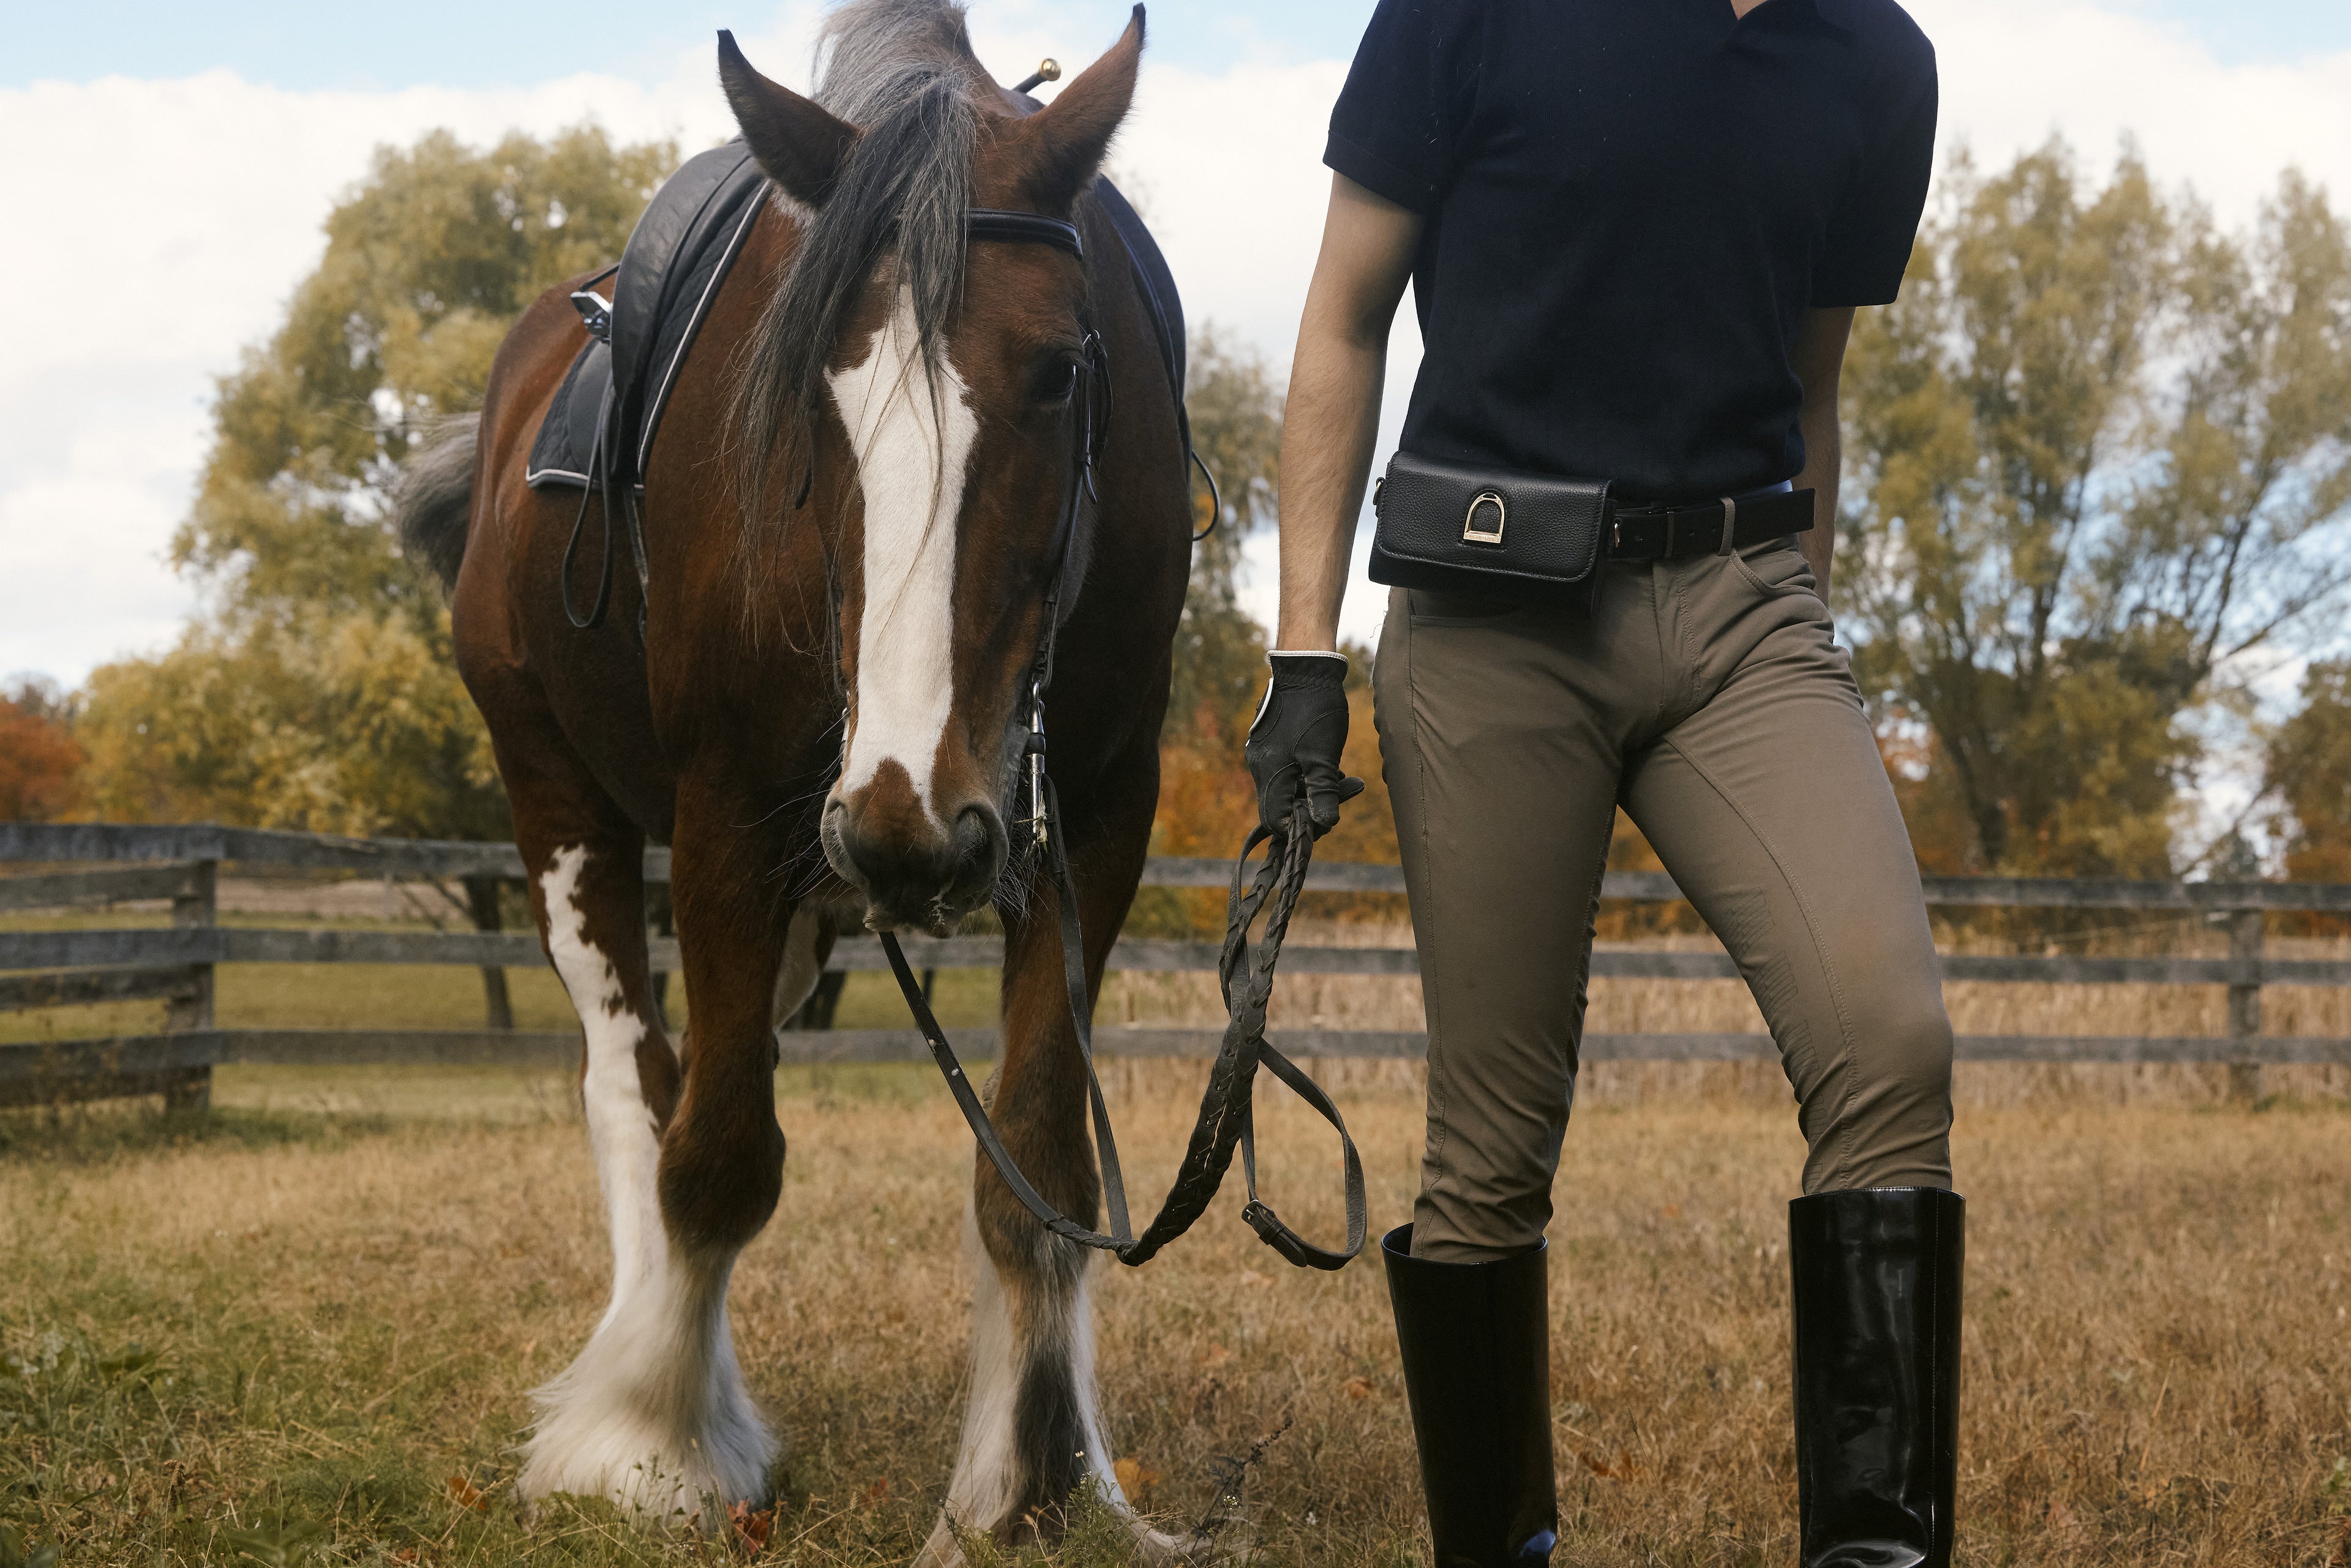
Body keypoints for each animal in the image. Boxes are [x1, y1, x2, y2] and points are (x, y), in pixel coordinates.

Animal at [394, 3, 1198, 1556]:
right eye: (812, 379)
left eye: (1062, 370)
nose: (910, 826)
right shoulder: (725, 817)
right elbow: (713, 1156)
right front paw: (649, 1446)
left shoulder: (1090, 825)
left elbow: (1038, 1167)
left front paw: (1026, 1479)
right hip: (569, 808)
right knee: (634, 1082)